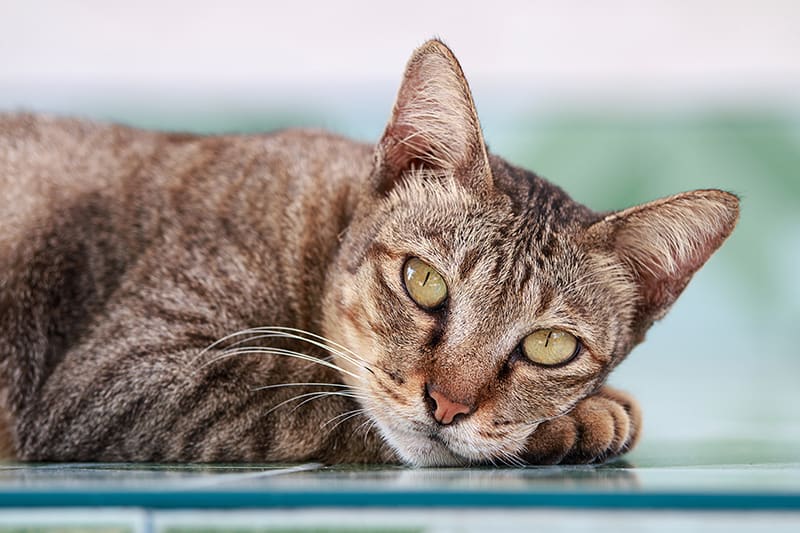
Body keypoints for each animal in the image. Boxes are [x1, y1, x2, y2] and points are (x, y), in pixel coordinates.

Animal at [0, 40, 736, 466]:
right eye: (424, 282)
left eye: (549, 346)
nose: (447, 405)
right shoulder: (130, 371)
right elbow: (310, 397)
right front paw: (579, 420)